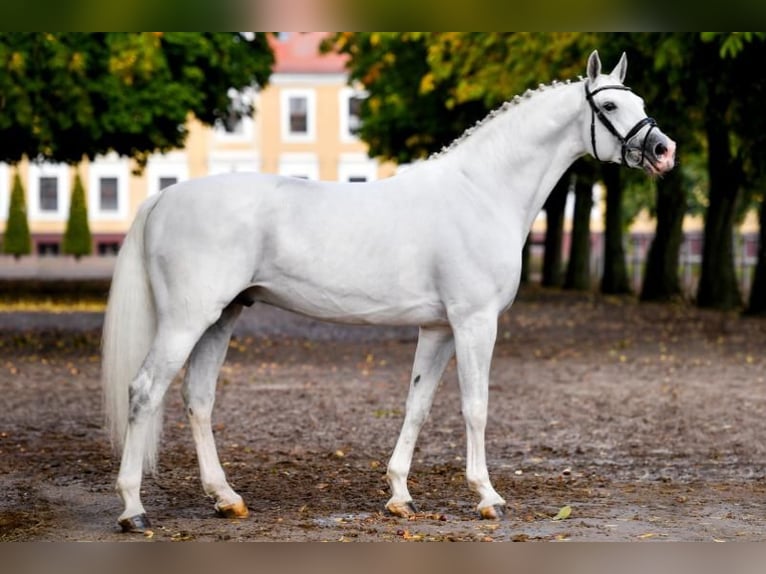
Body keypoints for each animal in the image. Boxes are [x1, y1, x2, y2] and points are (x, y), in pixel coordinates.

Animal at [103, 51, 680, 532]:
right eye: (610, 103)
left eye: (641, 103)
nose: (664, 149)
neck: (481, 190)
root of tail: (164, 197)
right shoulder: (475, 322)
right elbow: (475, 406)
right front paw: (487, 497)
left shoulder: (439, 327)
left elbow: (417, 405)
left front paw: (400, 496)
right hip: (188, 319)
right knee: (145, 391)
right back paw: (132, 508)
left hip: (221, 317)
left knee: (197, 399)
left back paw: (226, 498)